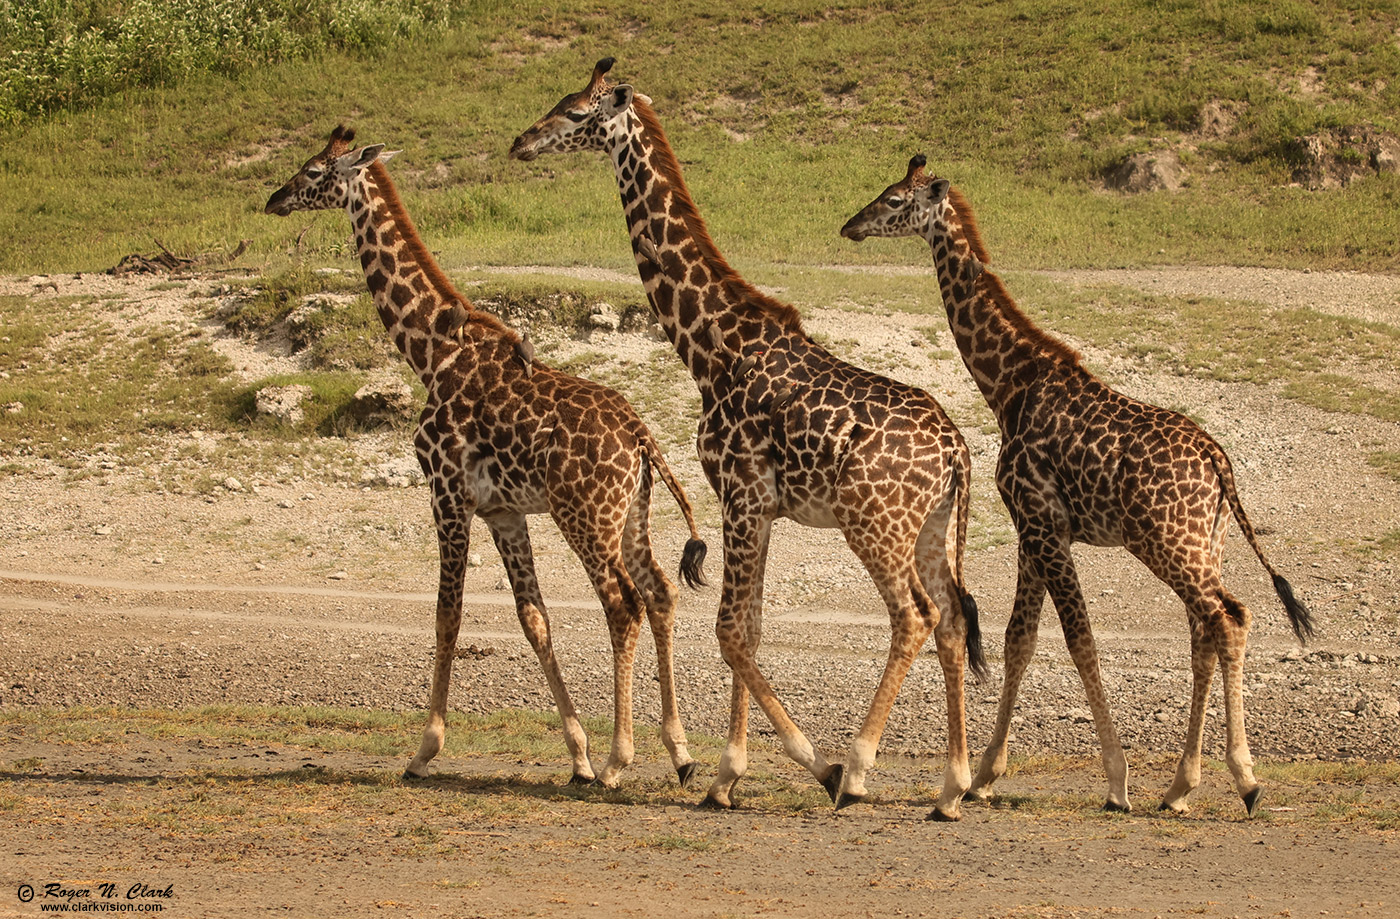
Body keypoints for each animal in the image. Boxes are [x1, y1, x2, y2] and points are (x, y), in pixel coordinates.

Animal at [263, 125, 711, 790]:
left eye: (314, 171)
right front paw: (575, 755)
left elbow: (447, 614)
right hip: (631, 513)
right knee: (659, 593)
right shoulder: (504, 511)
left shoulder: (446, 494)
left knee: (622, 603)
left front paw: (424, 750)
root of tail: (640, 435)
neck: (431, 354)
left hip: (584, 516)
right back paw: (677, 753)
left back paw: (619, 760)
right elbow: (533, 618)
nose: (274, 199)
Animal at [509, 59, 991, 818]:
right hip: (933, 529)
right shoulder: (757, 505)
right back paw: (951, 787)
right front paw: (726, 777)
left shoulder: (739, 492)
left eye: (579, 113)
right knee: (948, 622)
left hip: (873, 523)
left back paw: (858, 769)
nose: (523, 142)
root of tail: (957, 454)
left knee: (913, 617)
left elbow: (731, 631)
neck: (710, 347)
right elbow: (750, 629)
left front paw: (786, 766)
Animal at [840, 154, 1310, 812]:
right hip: (1204, 543)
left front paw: (1116, 782)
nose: (849, 226)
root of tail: (1220, 462)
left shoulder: (1041, 521)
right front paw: (984, 777)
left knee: (1228, 621)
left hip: (1167, 544)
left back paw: (1244, 779)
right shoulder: (1034, 529)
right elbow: (1020, 639)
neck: (1008, 385)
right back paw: (1180, 787)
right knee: (1206, 630)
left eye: (891, 199)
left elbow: (1078, 638)